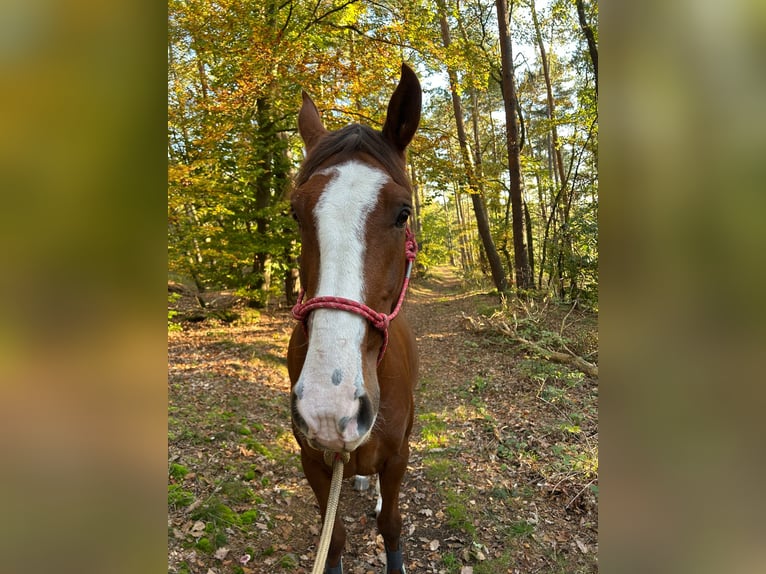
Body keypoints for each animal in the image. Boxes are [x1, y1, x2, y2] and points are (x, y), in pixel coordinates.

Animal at [286, 64, 424, 574]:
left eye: (403, 213)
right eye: (295, 213)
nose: (330, 405)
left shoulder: (399, 455)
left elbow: (391, 525)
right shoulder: (313, 462)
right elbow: (336, 538)